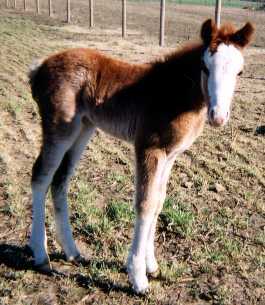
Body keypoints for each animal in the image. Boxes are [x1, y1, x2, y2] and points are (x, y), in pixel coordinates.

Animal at [27, 18, 254, 292]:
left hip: (83, 128)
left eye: (239, 72)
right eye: (205, 67)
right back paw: (40, 254)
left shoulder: (170, 155)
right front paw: (138, 277)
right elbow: (145, 204)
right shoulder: (149, 148)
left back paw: (72, 251)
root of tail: (39, 67)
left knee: (60, 180)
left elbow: (158, 202)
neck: (174, 93)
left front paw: (152, 266)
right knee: (41, 176)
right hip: (60, 128)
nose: (218, 116)